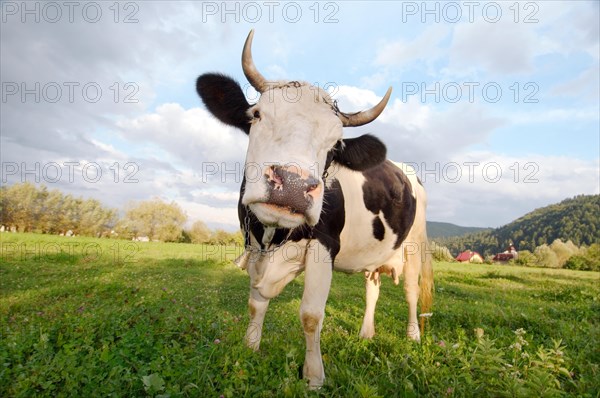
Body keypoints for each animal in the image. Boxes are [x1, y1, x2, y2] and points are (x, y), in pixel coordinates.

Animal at [197, 30, 432, 388]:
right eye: (257, 115)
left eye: (336, 145)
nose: (293, 184)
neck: (273, 236)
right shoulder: (253, 246)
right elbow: (255, 304)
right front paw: (250, 347)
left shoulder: (325, 247)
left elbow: (310, 315)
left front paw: (313, 376)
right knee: (372, 289)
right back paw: (366, 334)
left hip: (414, 244)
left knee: (410, 291)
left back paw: (413, 336)